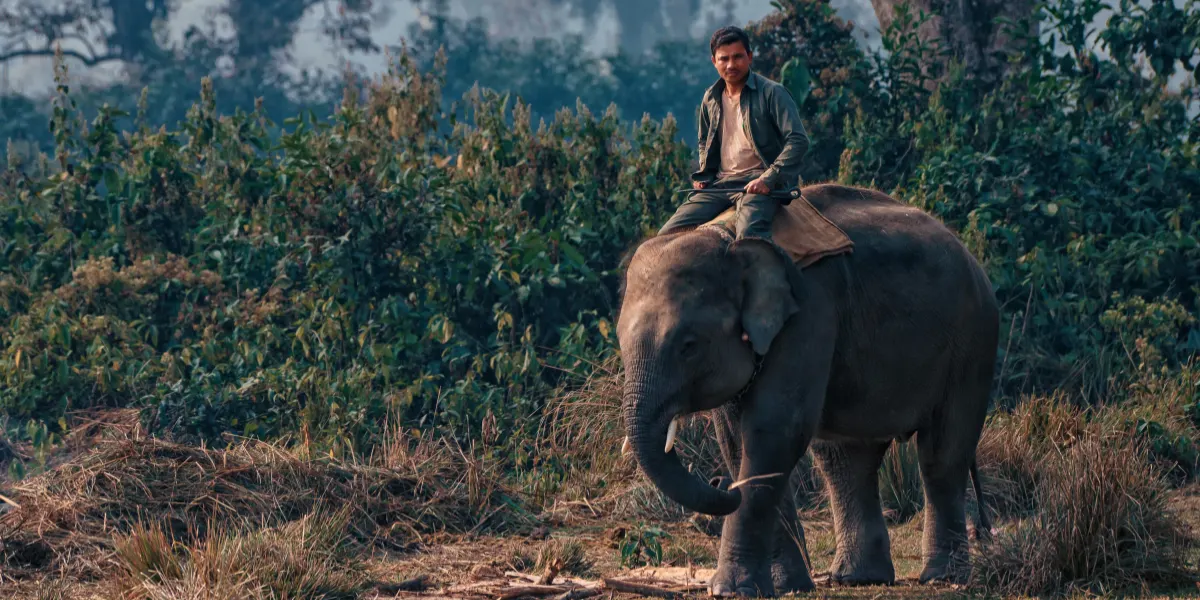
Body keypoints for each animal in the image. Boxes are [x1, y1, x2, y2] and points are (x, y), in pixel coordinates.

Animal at [616, 183, 999, 597]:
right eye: (620, 340)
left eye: (688, 345)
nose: (722, 485)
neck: (728, 239)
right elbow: (737, 440)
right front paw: (786, 586)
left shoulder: (810, 312)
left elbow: (773, 431)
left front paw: (732, 590)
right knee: (846, 460)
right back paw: (858, 578)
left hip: (973, 343)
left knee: (941, 454)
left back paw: (942, 577)